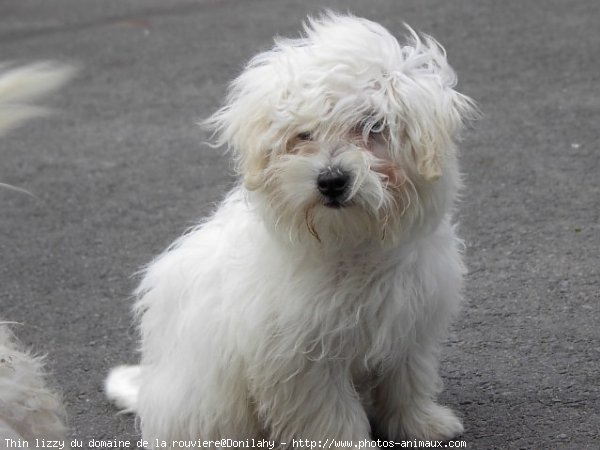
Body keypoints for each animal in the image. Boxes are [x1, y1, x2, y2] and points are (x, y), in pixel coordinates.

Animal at [105, 12, 476, 448]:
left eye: (372, 127)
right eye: (303, 135)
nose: (332, 180)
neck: (352, 244)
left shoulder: (410, 327)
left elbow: (407, 383)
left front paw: (422, 424)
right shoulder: (303, 358)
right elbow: (330, 413)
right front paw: (346, 443)